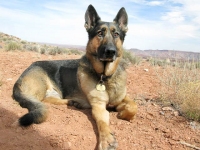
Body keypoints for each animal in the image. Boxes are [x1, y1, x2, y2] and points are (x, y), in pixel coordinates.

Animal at [12, 4, 138, 150]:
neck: (105, 77)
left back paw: (73, 102)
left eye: (116, 34)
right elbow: (102, 124)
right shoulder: (98, 106)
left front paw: (123, 113)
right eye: (100, 33)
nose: (110, 51)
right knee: (40, 101)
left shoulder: (122, 97)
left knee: (49, 99)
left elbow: (133, 106)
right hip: (40, 86)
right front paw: (107, 140)